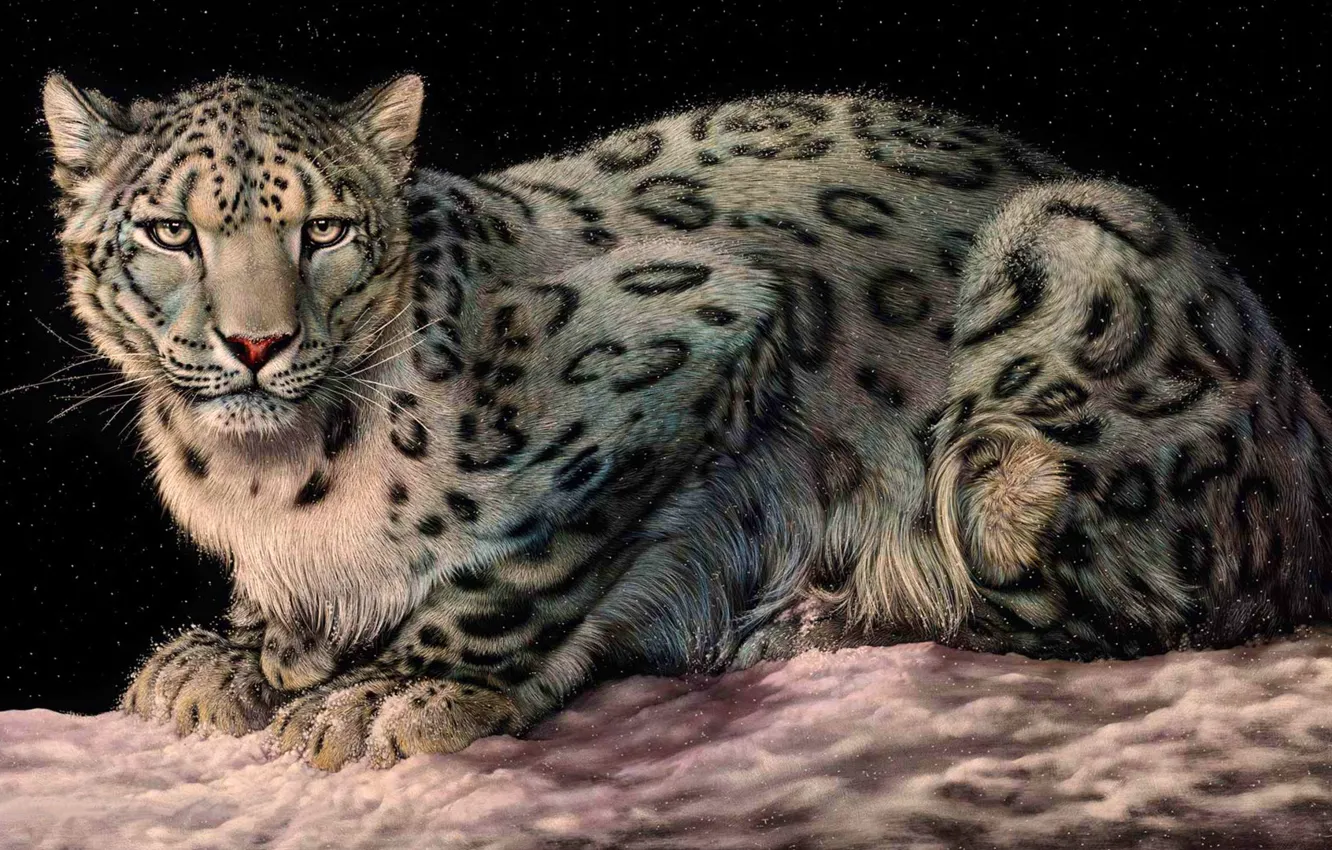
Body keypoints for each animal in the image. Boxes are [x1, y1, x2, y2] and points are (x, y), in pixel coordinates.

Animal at [41, 72, 1332, 771]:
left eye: (325, 231)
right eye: (170, 232)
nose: (256, 344)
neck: (263, 475)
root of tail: (1305, 414)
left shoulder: (695, 336)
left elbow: (531, 560)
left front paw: (394, 689)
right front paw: (229, 654)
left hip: (1057, 320)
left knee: (1139, 593)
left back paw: (823, 611)